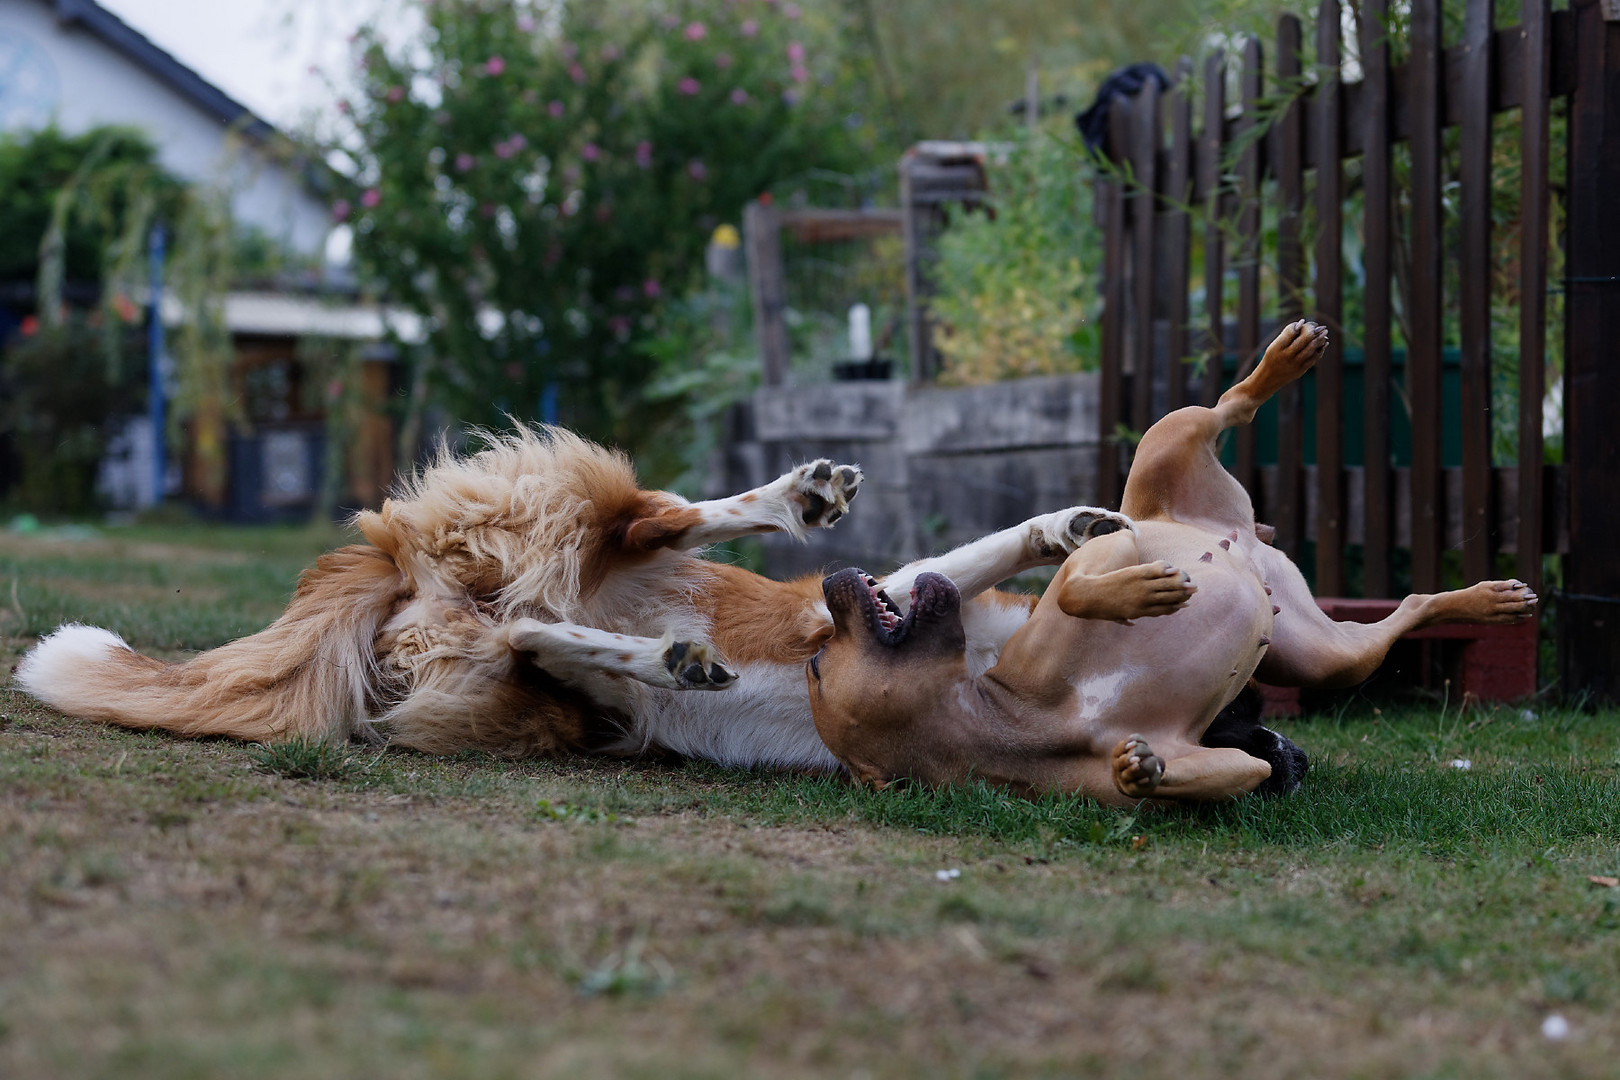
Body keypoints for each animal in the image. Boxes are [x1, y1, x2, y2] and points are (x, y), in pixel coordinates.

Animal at [816, 325, 1535, 806]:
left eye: (816, 664)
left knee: (1224, 407)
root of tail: (1245, 537)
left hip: (1164, 444)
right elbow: (1232, 770)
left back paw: (1281, 362)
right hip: (1322, 655)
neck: (1005, 722)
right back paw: (1487, 601)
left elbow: (1078, 583)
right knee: (1402, 613)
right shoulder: (1188, 759)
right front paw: (1140, 769)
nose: (832, 581)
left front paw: (1141, 590)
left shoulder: (1095, 561)